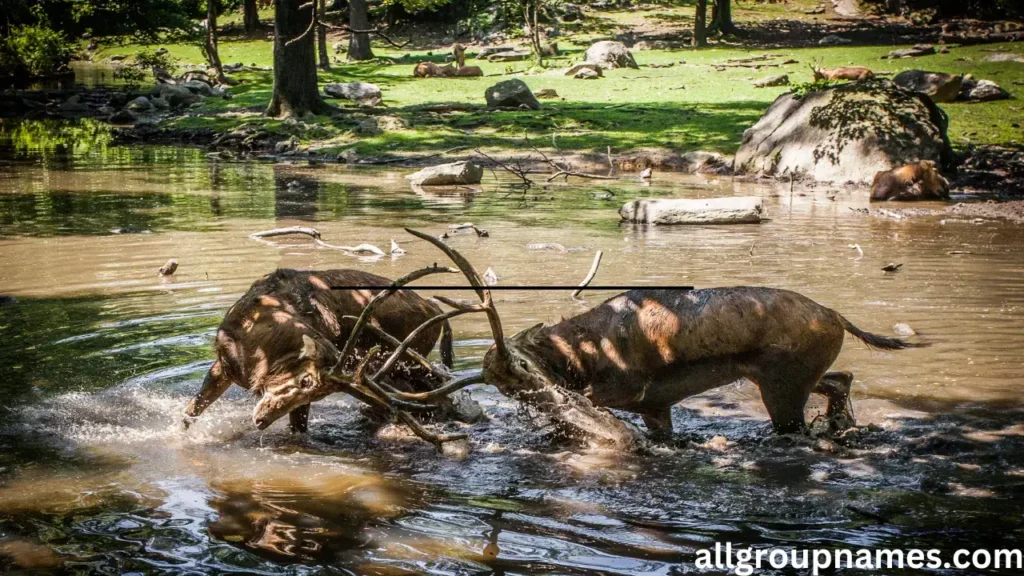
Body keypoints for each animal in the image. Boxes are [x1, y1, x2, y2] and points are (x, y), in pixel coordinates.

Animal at [181, 266, 479, 432]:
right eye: (304, 380)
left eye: (317, 392)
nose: (261, 421)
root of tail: (434, 307)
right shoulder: (223, 365)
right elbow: (192, 410)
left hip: (407, 359)